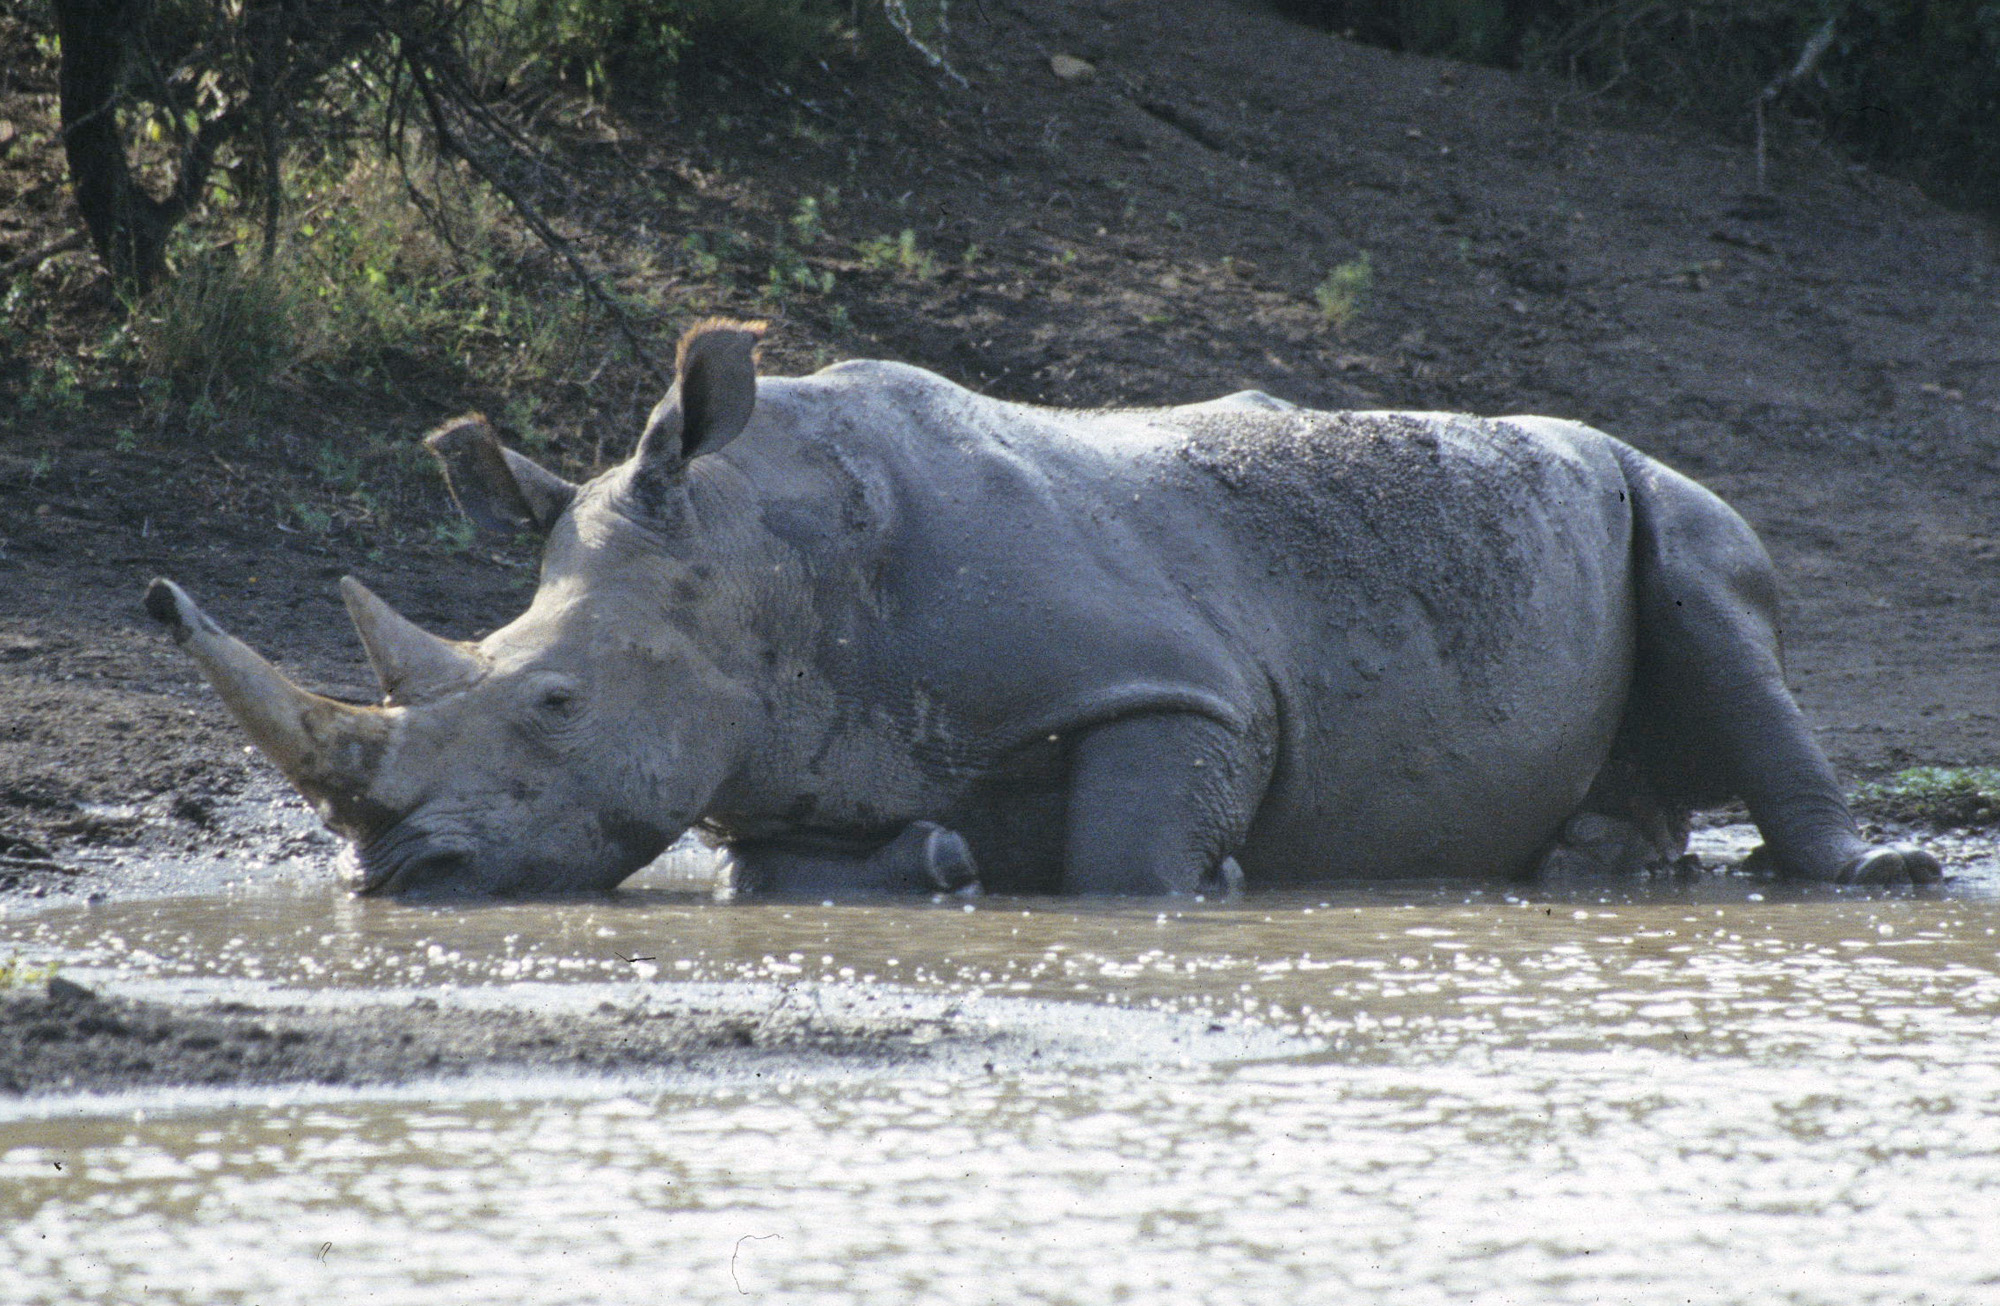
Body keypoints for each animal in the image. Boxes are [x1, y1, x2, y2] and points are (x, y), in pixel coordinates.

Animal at [144, 320, 1939, 896]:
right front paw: (939, 864)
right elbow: (783, 877)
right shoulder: (775, 754)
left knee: (1711, 590)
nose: (392, 877)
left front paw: (1205, 888)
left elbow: (1122, 857)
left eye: (553, 703)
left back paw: (1871, 882)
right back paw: (1586, 862)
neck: (768, 557)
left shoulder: (1177, 681)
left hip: (1654, 487)